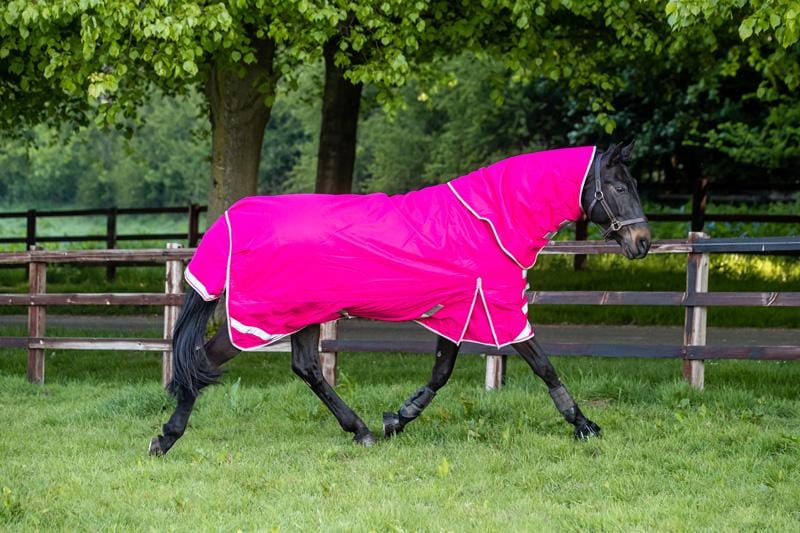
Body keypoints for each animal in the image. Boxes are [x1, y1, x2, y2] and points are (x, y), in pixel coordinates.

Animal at [149, 142, 651, 455]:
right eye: (620, 187)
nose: (642, 242)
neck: (489, 220)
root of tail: (237, 218)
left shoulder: (460, 310)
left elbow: (441, 373)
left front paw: (397, 420)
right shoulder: (499, 308)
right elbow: (543, 366)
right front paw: (584, 425)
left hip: (303, 314)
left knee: (308, 369)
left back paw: (361, 431)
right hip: (262, 318)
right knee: (206, 359)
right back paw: (166, 438)